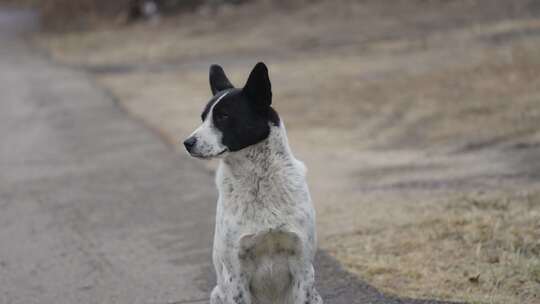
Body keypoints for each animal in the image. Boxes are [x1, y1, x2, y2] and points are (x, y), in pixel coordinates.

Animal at [184, 62, 322, 304]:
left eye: (223, 116)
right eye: (203, 118)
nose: (187, 143)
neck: (258, 180)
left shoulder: (303, 269)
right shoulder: (236, 275)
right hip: (217, 293)